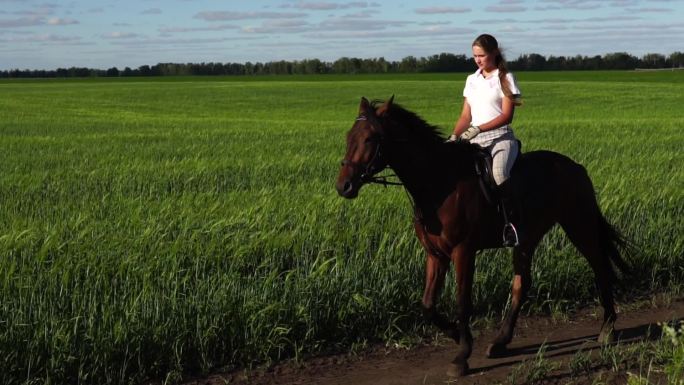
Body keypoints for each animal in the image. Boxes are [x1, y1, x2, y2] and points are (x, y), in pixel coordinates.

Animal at [334, 97, 628, 378]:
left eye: (369, 139)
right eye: (348, 136)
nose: (343, 186)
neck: (438, 183)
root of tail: (576, 167)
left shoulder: (463, 251)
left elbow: (463, 302)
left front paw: (462, 355)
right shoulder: (435, 254)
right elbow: (428, 305)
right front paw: (455, 335)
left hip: (578, 225)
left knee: (600, 266)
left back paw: (607, 328)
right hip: (527, 238)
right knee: (522, 283)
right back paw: (500, 342)